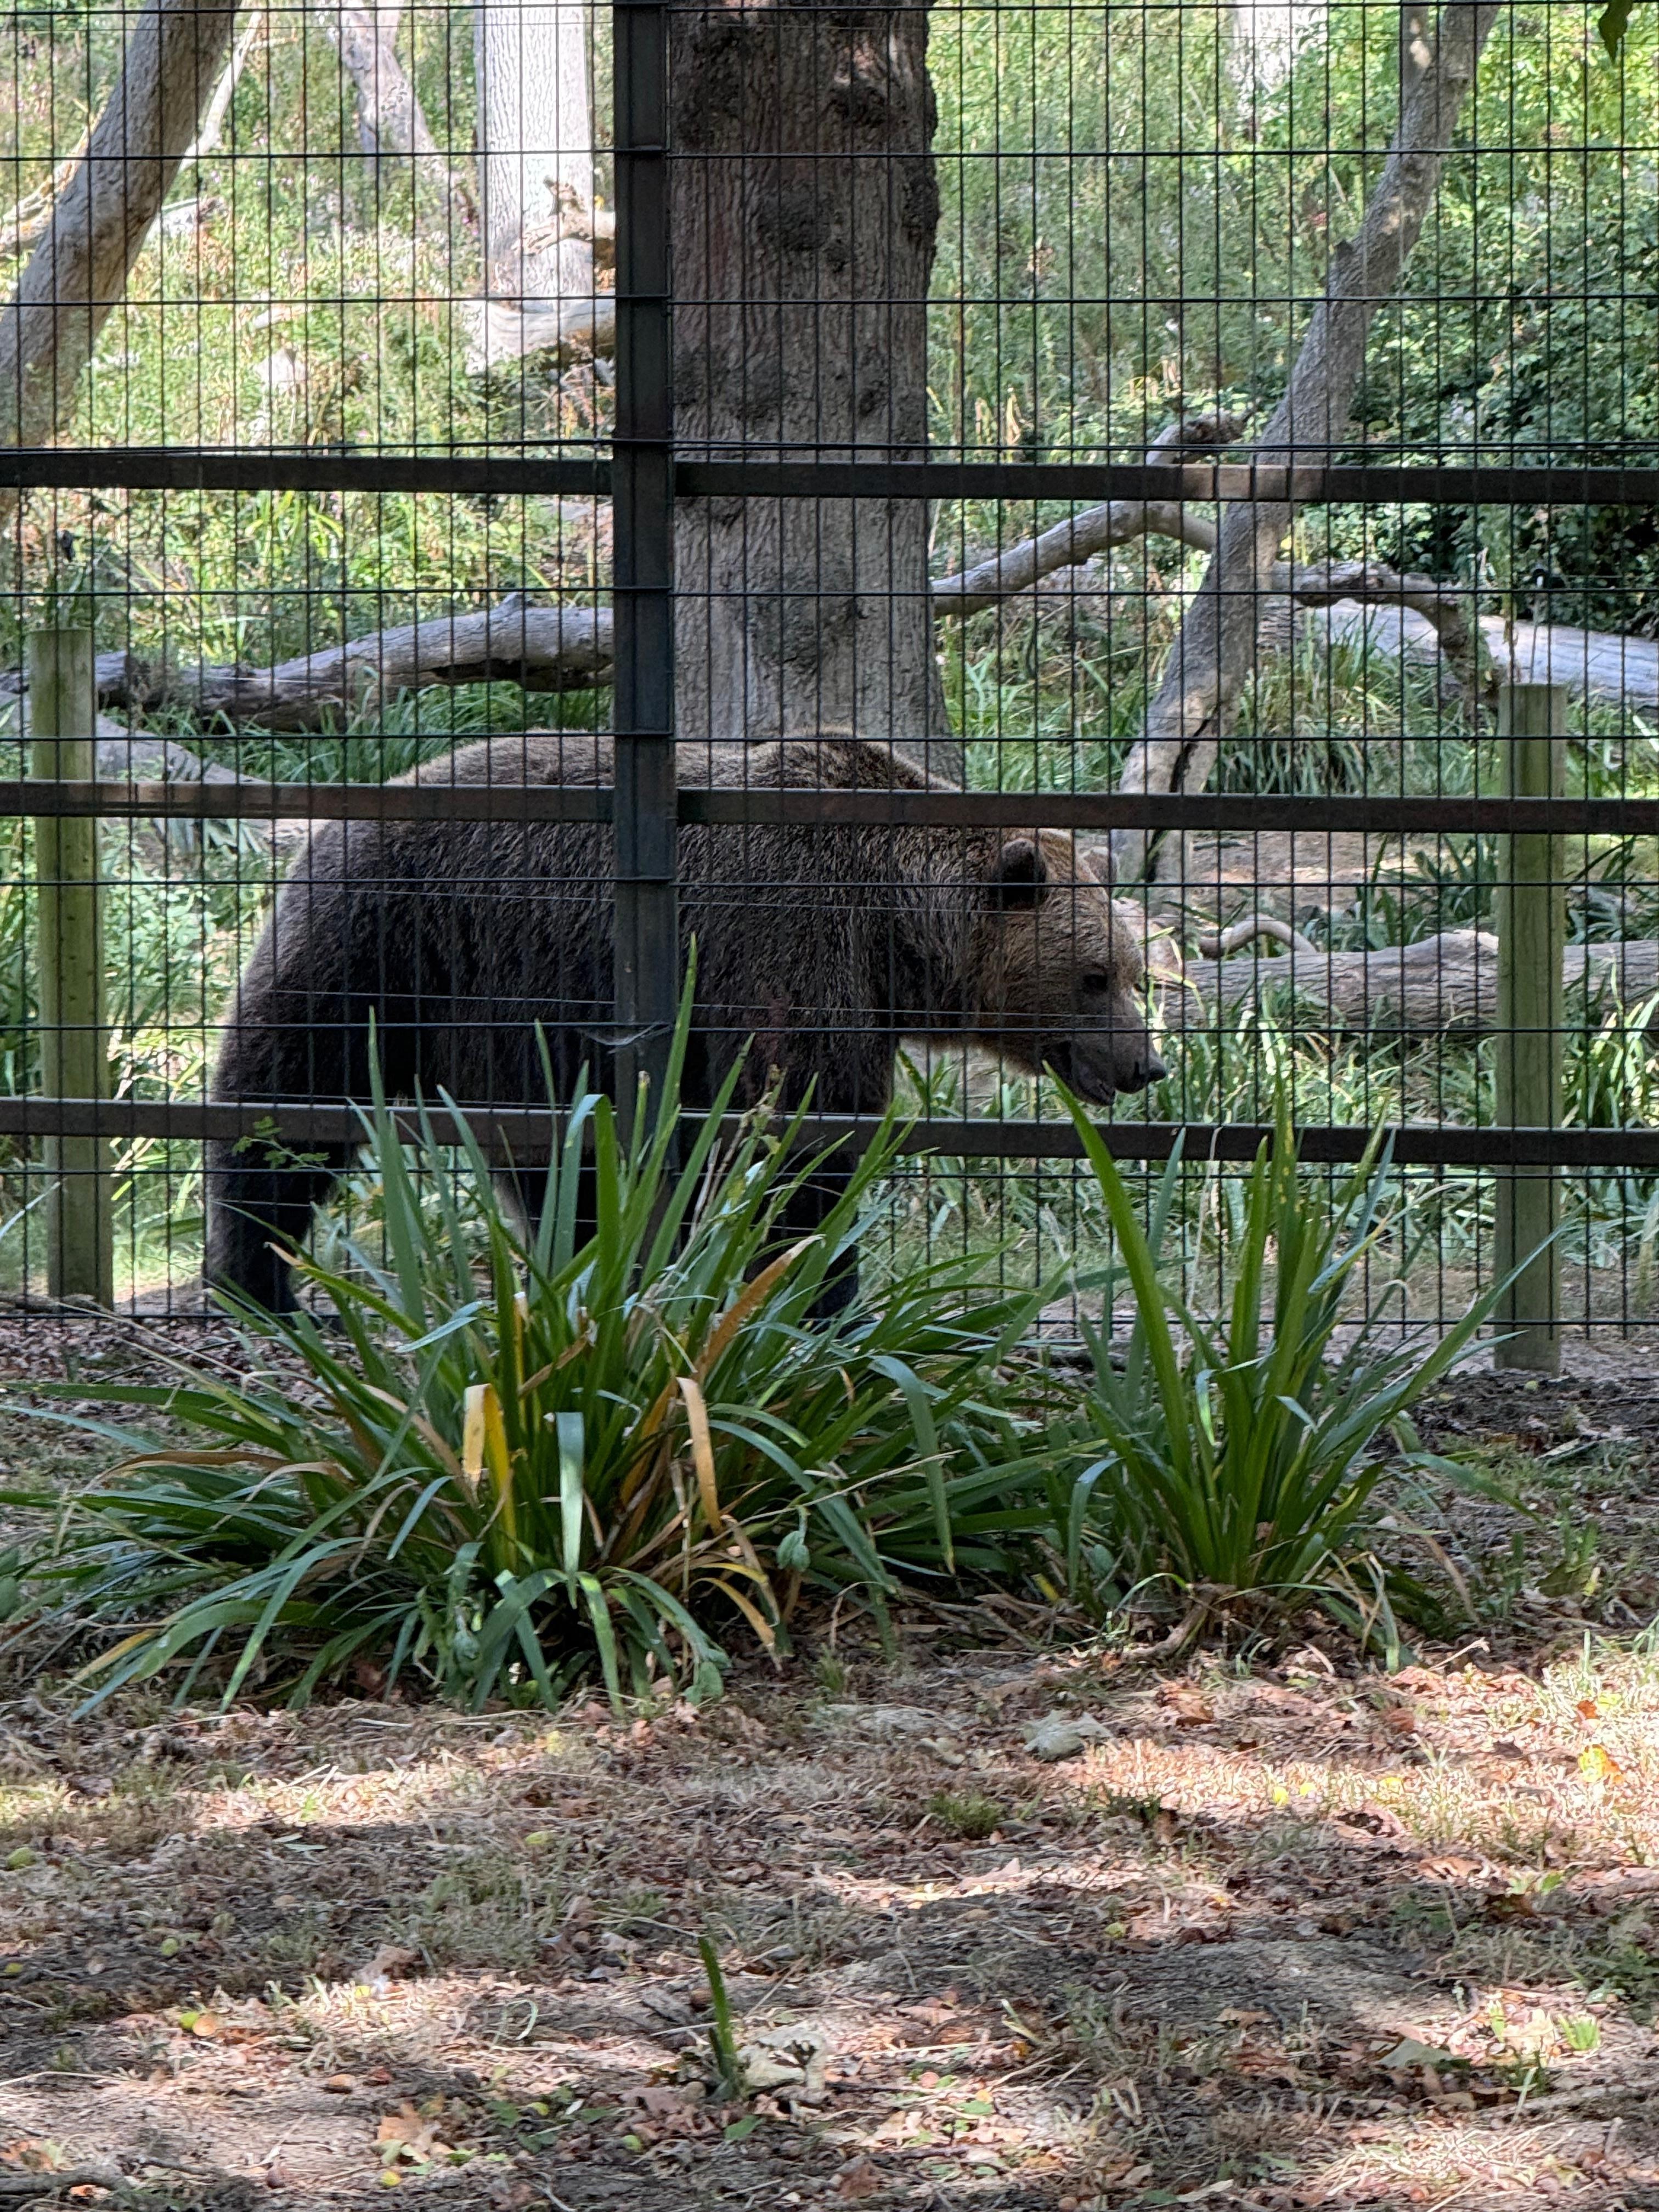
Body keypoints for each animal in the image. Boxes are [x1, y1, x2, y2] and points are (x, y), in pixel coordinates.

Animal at [205, 732, 1164, 1312]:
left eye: (1130, 973)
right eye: (1094, 977)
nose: (1143, 1065)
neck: (895, 929)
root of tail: (331, 821)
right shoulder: (787, 944)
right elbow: (796, 1139)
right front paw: (816, 1290)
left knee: (558, 1158)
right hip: (384, 945)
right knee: (287, 1097)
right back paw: (258, 1276)